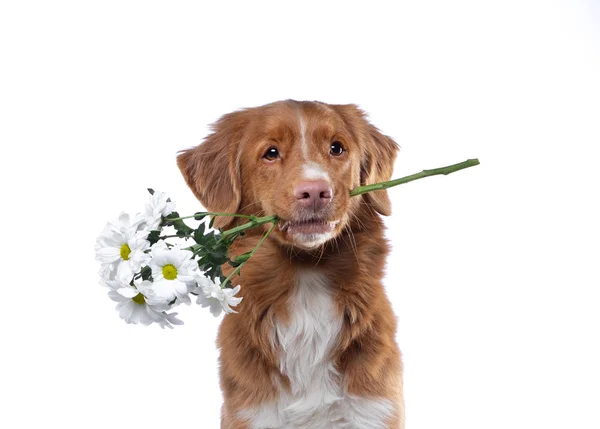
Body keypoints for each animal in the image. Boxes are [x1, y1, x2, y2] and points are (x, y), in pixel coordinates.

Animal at [177, 100, 404, 428]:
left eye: (337, 148)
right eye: (271, 153)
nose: (316, 192)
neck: (305, 276)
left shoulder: (373, 408)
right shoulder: (252, 412)